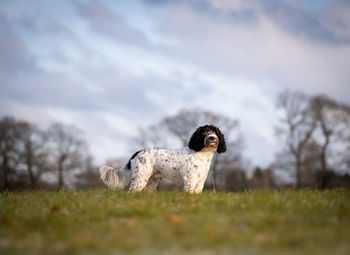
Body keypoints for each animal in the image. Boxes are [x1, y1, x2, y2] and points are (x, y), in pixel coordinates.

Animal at [98, 124, 226, 193]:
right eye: (204, 132)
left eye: (215, 132)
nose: (212, 138)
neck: (201, 154)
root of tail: (137, 153)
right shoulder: (190, 180)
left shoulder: (200, 182)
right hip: (140, 178)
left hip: (151, 181)